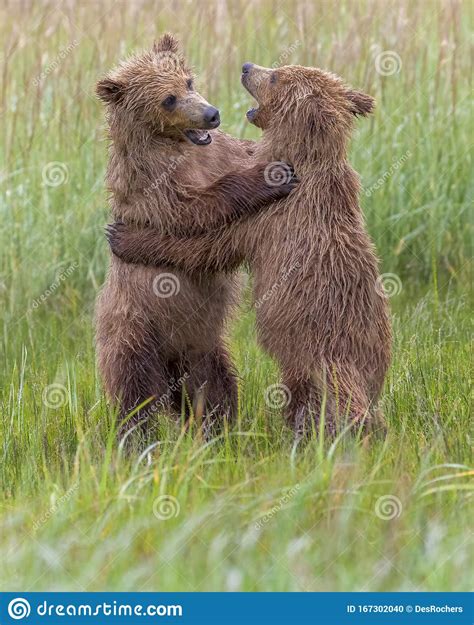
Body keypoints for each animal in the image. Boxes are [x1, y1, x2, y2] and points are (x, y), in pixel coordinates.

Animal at [95, 36, 296, 436]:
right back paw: (137, 438)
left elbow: (238, 154)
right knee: (134, 393)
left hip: (202, 345)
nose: (211, 114)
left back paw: (221, 429)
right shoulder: (153, 187)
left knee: (215, 386)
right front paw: (270, 176)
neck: (175, 145)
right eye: (168, 99)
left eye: (188, 81)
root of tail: (170, 362)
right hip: (133, 328)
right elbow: (195, 211)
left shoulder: (218, 152)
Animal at [108, 61, 392, 436]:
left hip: (317, 352)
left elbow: (207, 246)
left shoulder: (265, 219)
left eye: (274, 76)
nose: (246, 66)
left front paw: (124, 237)